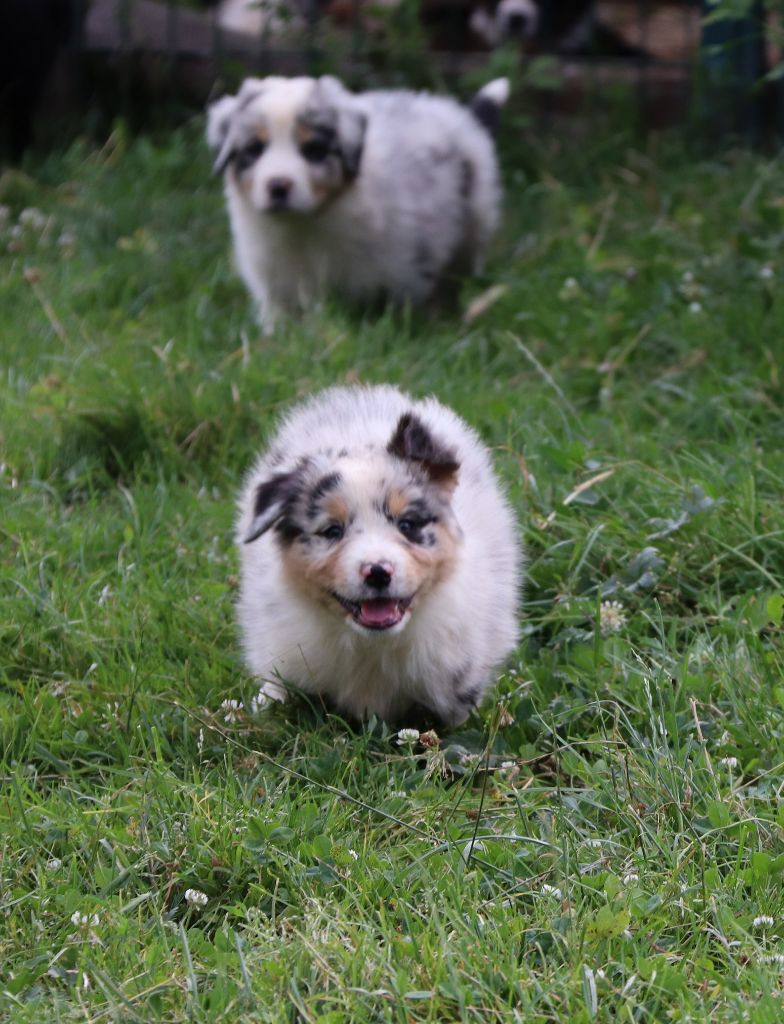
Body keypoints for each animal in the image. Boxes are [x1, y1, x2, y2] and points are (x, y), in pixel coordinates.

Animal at [206, 75, 509, 331]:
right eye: (254, 149)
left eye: (314, 150)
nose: (278, 186)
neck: (305, 223)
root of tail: (463, 118)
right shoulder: (274, 279)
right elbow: (281, 318)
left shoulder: (403, 266)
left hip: (471, 232)